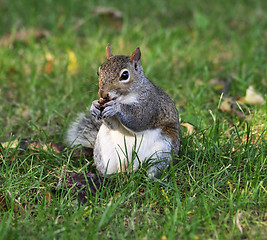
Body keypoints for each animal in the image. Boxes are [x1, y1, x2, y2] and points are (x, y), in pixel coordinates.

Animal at [66, 44, 181, 177]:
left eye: (125, 75)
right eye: (98, 72)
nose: (102, 94)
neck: (124, 97)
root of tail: (129, 166)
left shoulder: (150, 103)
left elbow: (139, 119)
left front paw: (116, 107)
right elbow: (114, 125)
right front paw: (94, 106)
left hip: (162, 151)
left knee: (155, 168)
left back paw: (150, 177)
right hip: (103, 150)